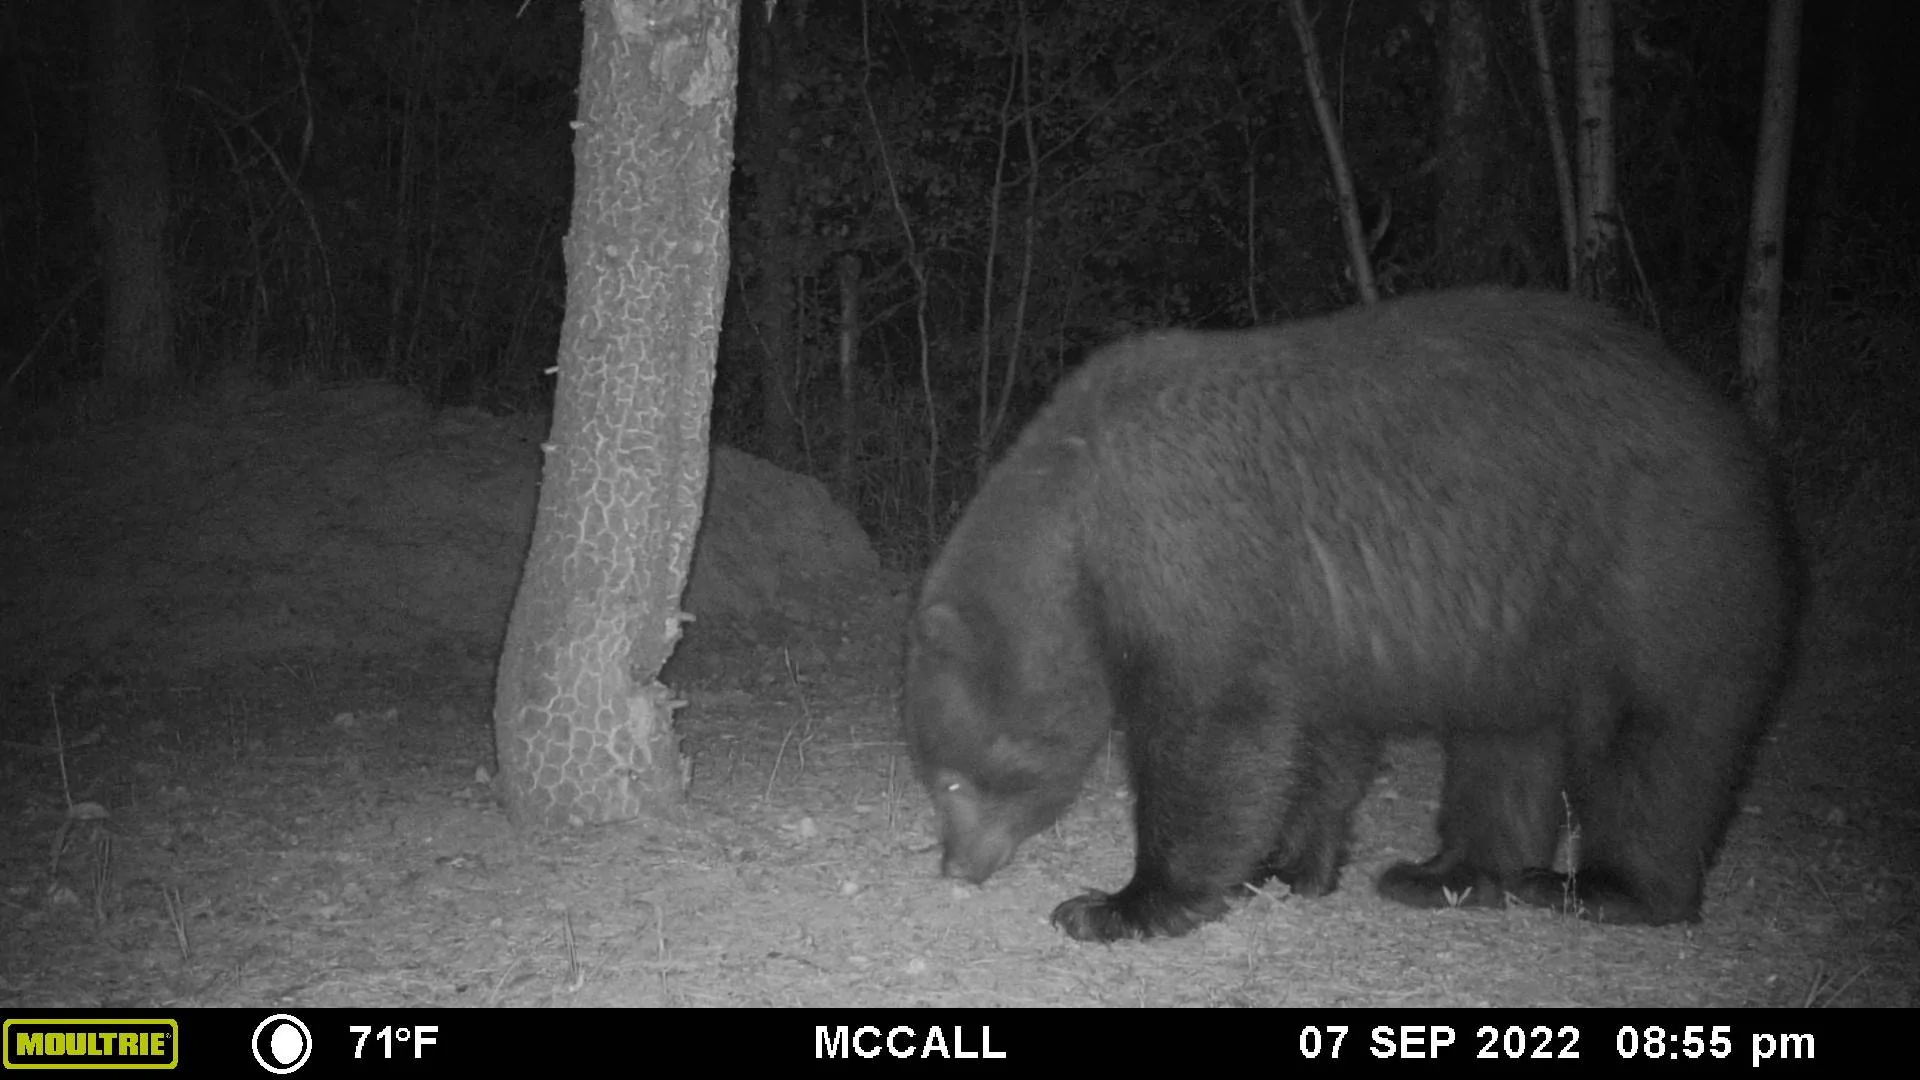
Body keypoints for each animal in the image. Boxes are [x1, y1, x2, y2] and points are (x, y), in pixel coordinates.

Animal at [900, 288, 1795, 943]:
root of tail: (1739, 435)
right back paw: (1443, 874)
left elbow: (1215, 728)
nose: (953, 866)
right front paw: (1290, 864)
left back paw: (1607, 888)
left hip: (1656, 567)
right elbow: (1319, 739)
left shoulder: (1196, 549)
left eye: (954, 778)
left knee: (1661, 740)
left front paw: (1120, 903)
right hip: (1525, 625)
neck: (1080, 512)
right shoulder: (1311, 619)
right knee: (1505, 744)